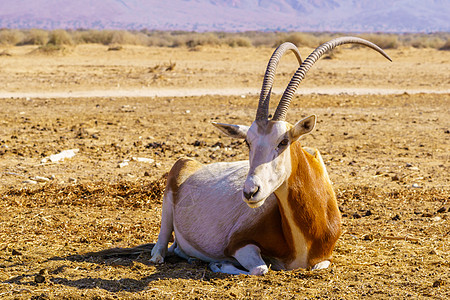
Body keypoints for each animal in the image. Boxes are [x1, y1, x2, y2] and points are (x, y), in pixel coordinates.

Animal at [151, 37, 390, 274]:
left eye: (283, 142)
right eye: (247, 141)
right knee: (162, 244)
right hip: (170, 195)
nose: (250, 192)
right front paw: (219, 263)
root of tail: (193, 164)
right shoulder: (237, 244)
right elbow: (261, 268)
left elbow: (319, 266)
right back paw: (162, 256)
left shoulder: (324, 257)